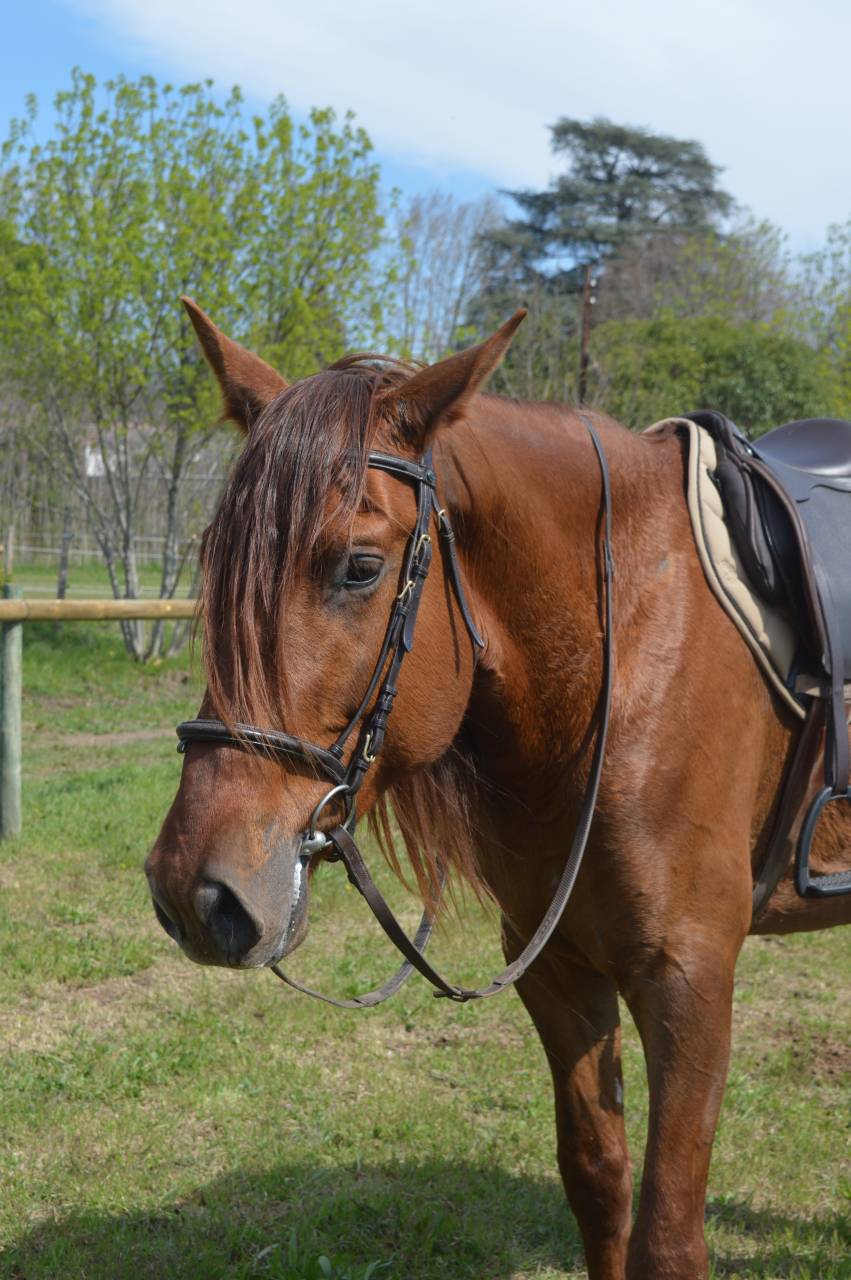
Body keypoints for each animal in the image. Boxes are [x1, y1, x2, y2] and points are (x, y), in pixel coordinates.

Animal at [146, 297, 851, 1280]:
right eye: (214, 557)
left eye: (359, 567)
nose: (194, 892)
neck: (618, 654)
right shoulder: (556, 968)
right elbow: (598, 1184)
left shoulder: (691, 975)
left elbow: (667, 1233)